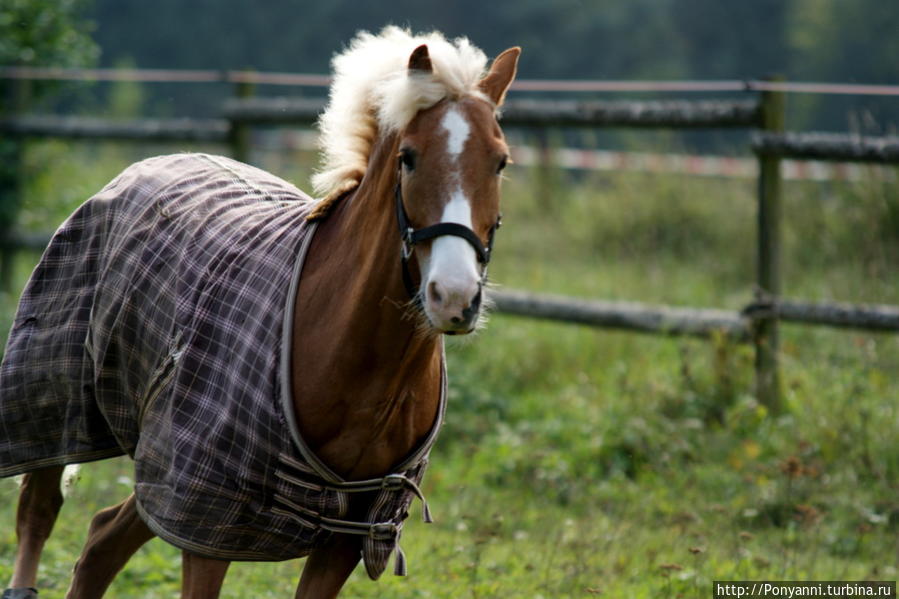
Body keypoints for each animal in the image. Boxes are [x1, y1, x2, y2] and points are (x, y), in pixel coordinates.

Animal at [0, 28, 520, 599]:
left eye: (500, 161)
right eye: (408, 157)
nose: (453, 297)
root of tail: (145, 166)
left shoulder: (345, 535)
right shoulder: (209, 525)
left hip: (159, 471)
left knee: (100, 540)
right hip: (57, 398)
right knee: (40, 507)